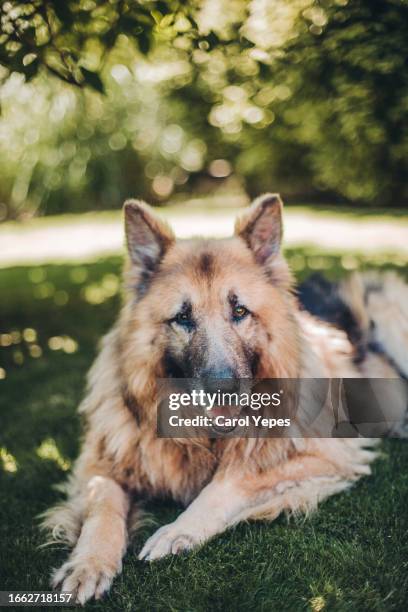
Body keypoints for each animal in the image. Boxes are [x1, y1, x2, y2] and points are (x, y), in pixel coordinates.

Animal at [42, 195, 408, 604]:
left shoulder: (326, 455)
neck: (200, 437)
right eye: (182, 317)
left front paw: (178, 530)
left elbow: (229, 483)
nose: (223, 388)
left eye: (239, 311)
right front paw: (88, 563)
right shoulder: (100, 464)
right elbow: (102, 503)